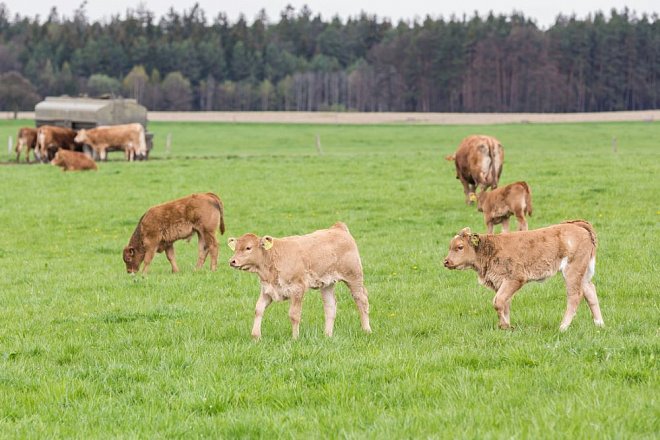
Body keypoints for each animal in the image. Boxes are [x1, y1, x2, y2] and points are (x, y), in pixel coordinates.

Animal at [227, 223, 372, 340]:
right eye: (236, 248)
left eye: (248, 248)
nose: (232, 261)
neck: (273, 257)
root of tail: (338, 228)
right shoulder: (267, 290)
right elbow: (258, 309)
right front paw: (256, 336)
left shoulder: (297, 289)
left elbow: (294, 314)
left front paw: (295, 338)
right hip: (327, 283)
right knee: (330, 306)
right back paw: (327, 335)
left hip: (354, 276)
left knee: (361, 300)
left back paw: (366, 330)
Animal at [444, 222, 604, 332]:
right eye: (450, 246)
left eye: (460, 247)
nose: (446, 261)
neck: (490, 249)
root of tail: (577, 225)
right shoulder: (500, 283)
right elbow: (504, 304)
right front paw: (506, 326)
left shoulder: (515, 279)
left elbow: (498, 302)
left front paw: (505, 325)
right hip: (582, 274)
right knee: (590, 291)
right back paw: (599, 324)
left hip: (572, 272)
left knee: (575, 295)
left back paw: (563, 327)